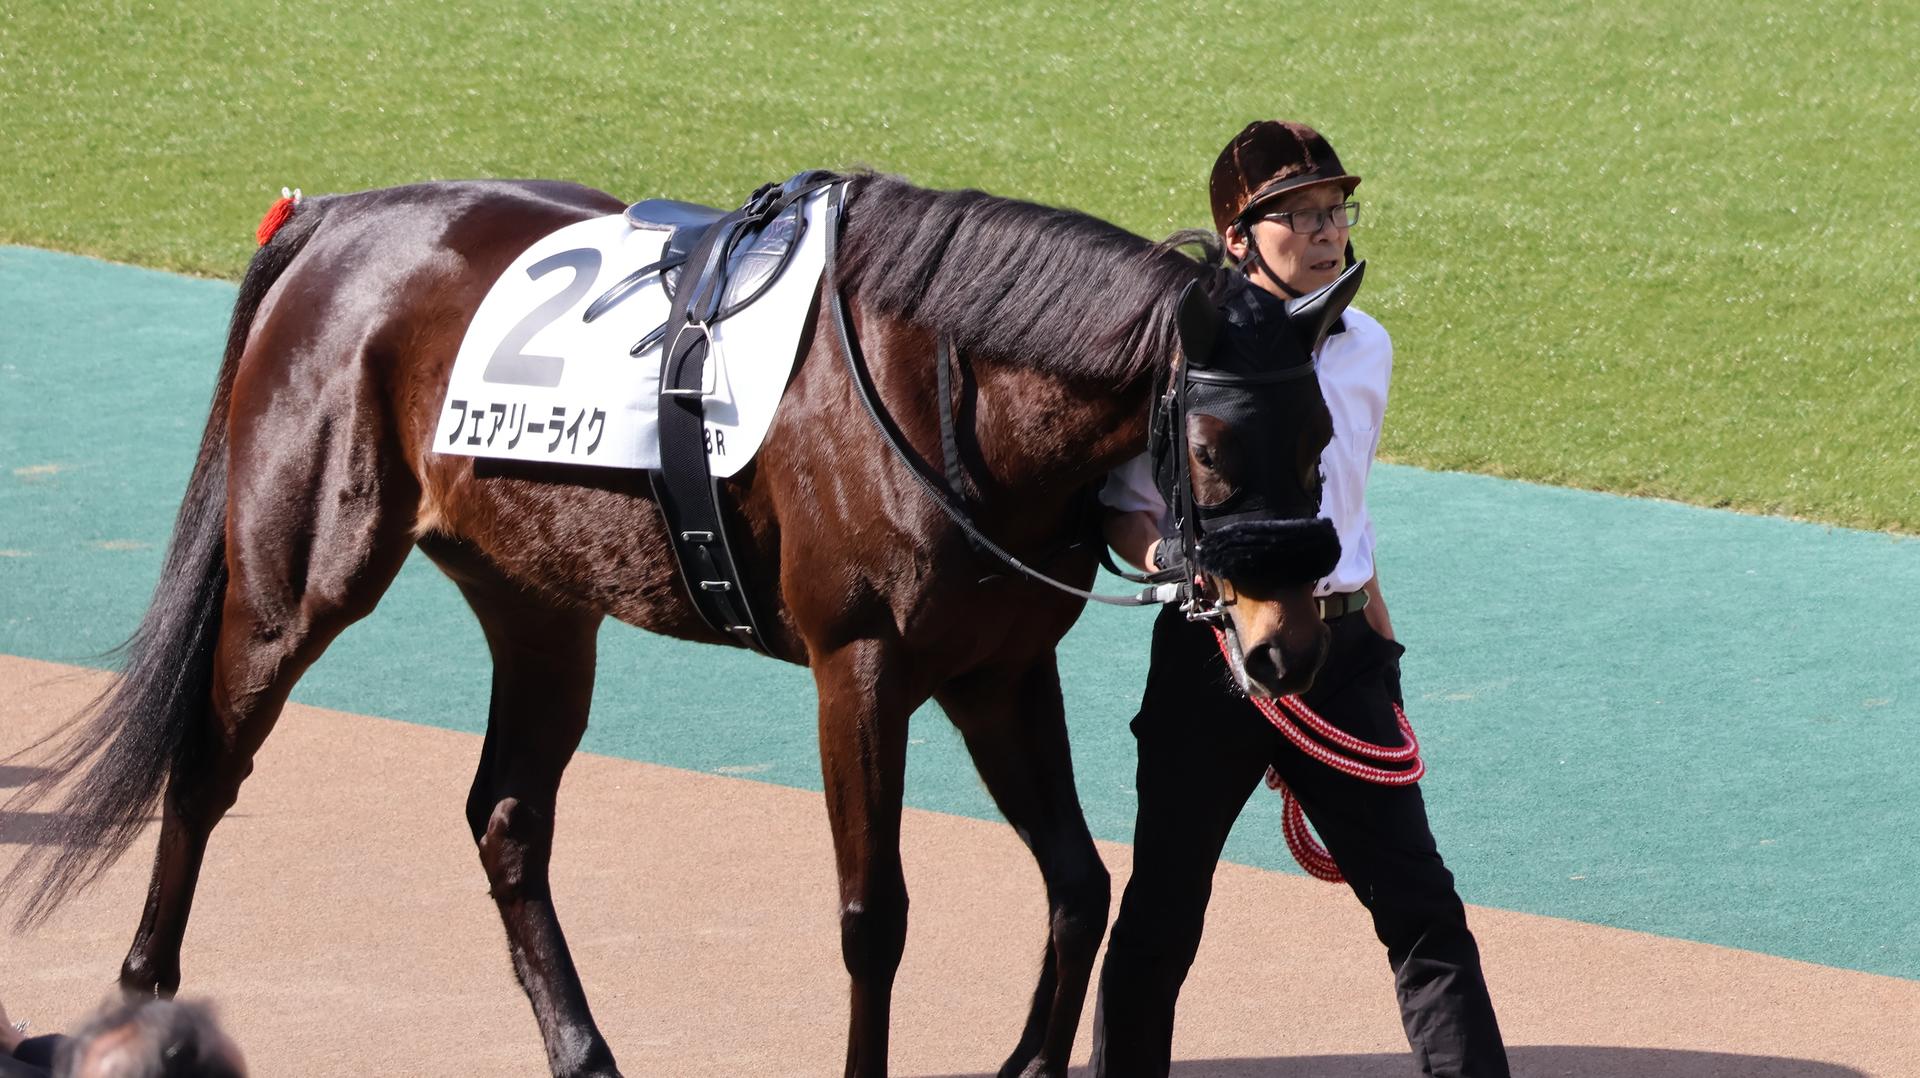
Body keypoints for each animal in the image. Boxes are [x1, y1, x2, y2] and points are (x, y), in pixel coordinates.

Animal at [3, 171, 1344, 1077]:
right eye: (1214, 449)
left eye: (1329, 432)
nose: (1289, 643)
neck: (945, 387)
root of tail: (333, 218)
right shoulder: (859, 667)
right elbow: (876, 918)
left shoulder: (1002, 671)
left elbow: (1079, 882)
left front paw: (1024, 1060)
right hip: (298, 581)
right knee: (204, 764)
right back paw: (141, 1003)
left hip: (539, 600)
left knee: (506, 816)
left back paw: (583, 1046)